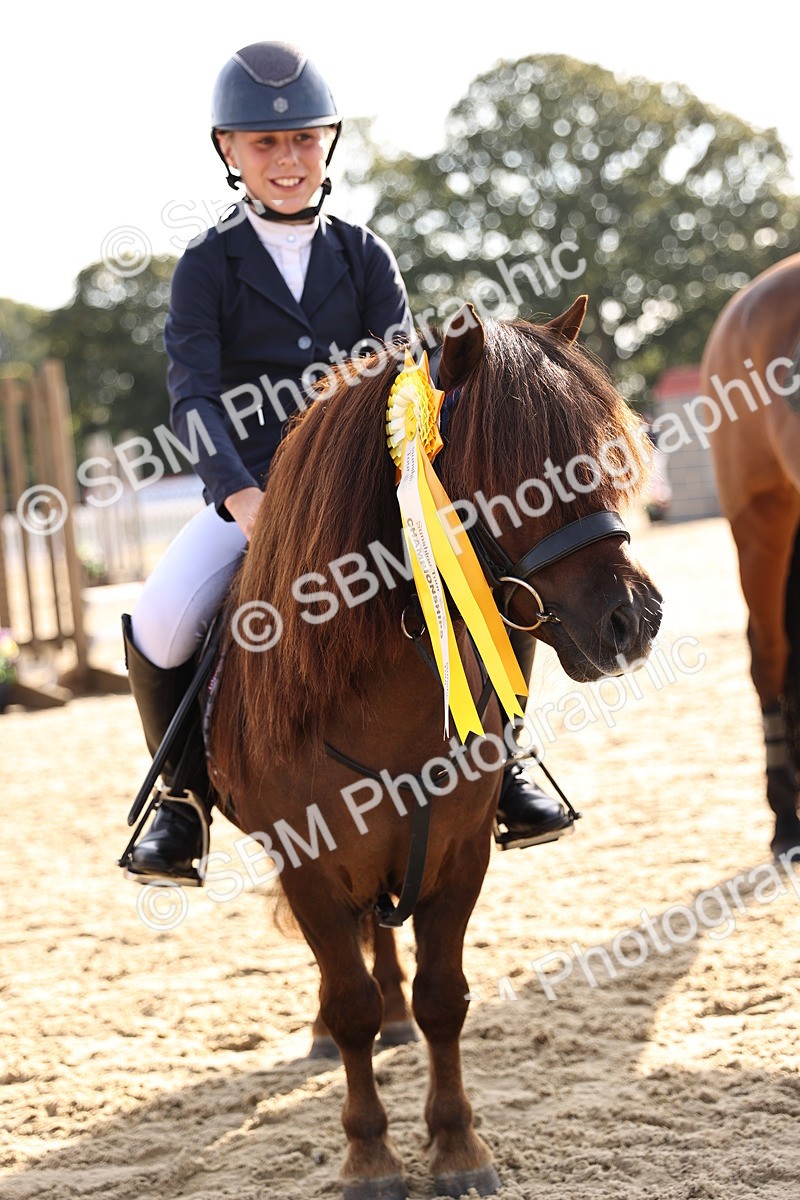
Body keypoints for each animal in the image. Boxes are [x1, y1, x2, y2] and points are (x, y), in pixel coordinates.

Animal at [207, 297, 663, 1199]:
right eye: (513, 467)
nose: (634, 621)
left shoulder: (457, 854)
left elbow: (443, 998)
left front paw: (457, 1147)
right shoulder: (306, 865)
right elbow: (346, 1002)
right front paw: (369, 1158)